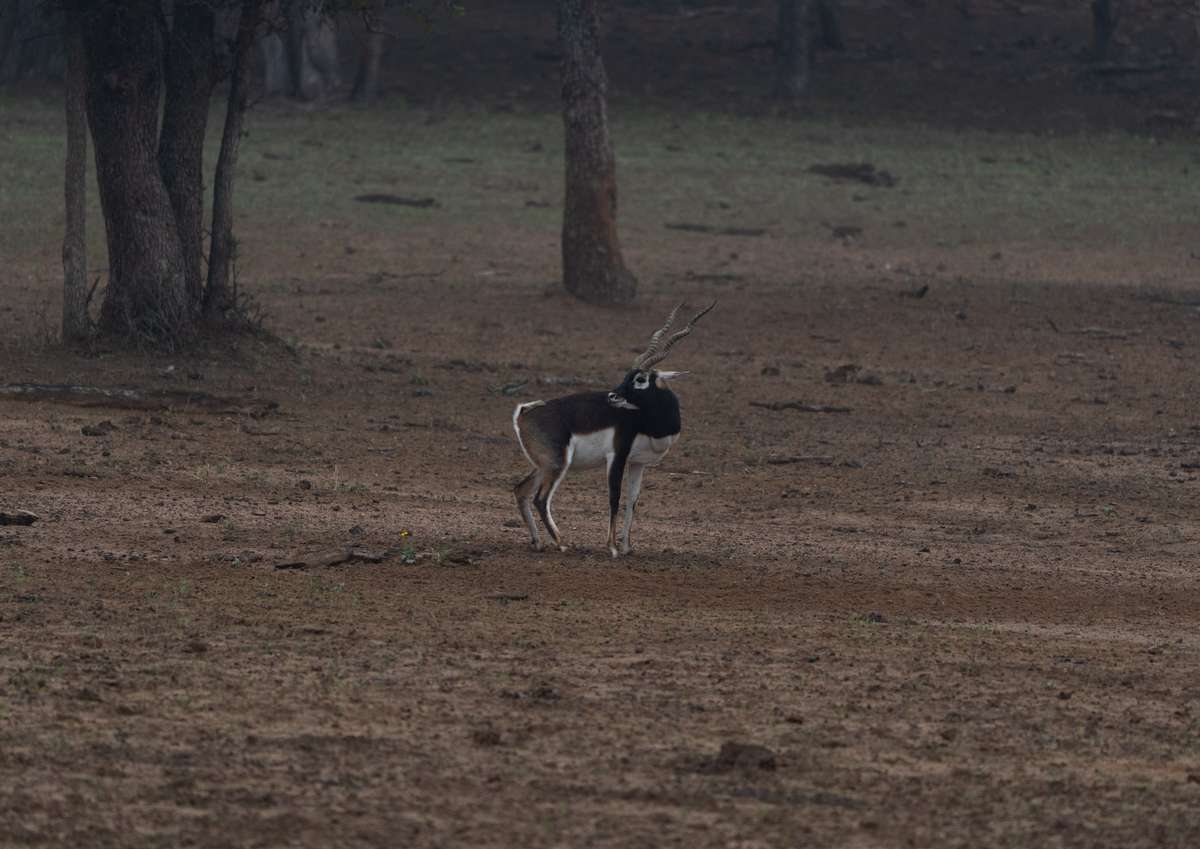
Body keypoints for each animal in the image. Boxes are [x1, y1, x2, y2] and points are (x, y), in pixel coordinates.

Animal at [513, 303, 710, 556]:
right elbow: (614, 497)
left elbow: (633, 500)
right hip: (558, 464)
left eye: (640, 378)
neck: (648, 421)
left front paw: (627, 547)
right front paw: (613, 548)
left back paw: (537, 542)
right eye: (629, 375)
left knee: (521, 490)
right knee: (540, 499)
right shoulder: (617, 455)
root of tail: (524, 414)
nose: (612, 396)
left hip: (544, 465)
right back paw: (562, 543)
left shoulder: (638, 463)